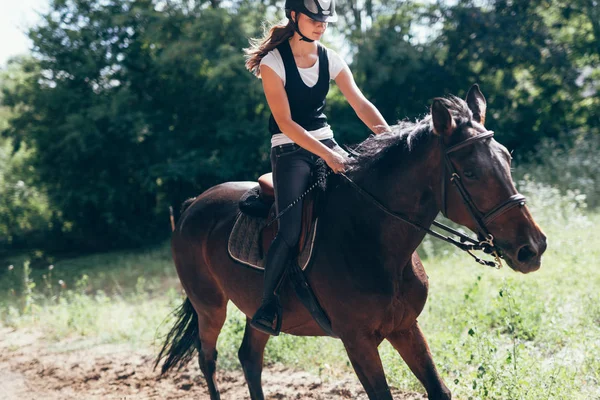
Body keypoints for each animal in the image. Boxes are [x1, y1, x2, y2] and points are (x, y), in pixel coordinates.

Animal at [156, 85, 548, 400]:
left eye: (507, 158)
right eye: (470, 173)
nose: (532, 248)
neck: (373, 239)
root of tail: (194, 204)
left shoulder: (405, 327)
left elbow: (439, 390)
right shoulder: (357, 341)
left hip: (256, 312)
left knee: (249, 357)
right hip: (210, 307)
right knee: (208, 360)